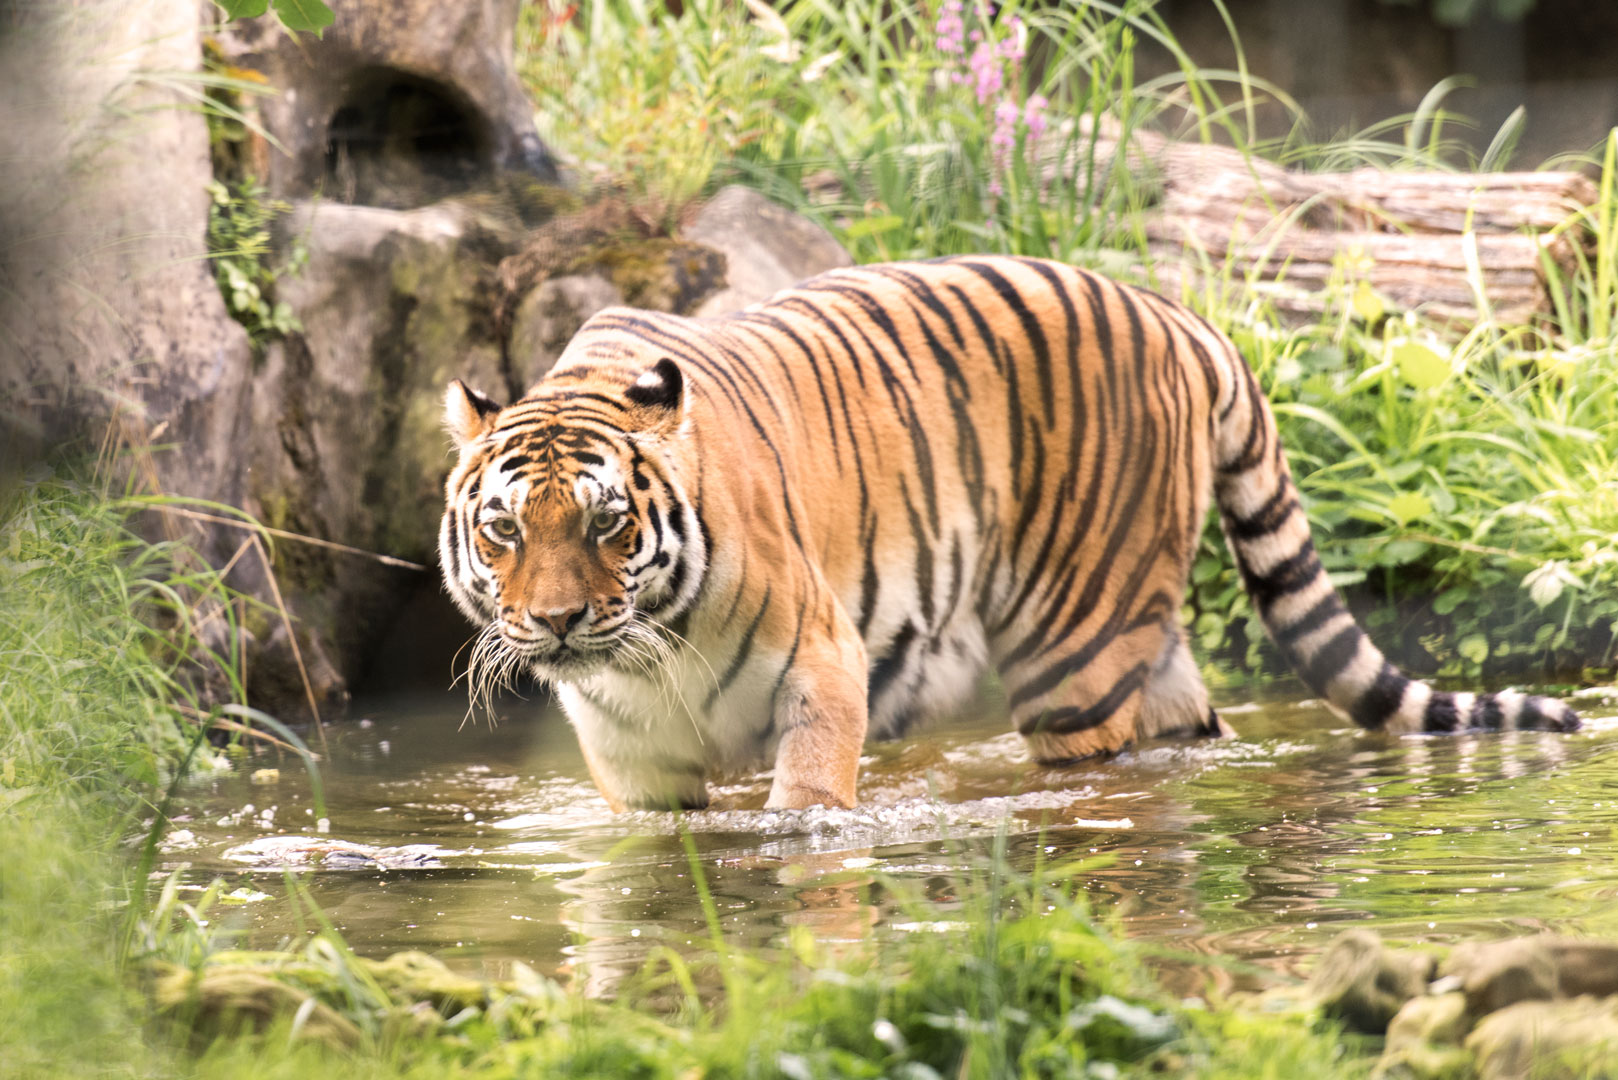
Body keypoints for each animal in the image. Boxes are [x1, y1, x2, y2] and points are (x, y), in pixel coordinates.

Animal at [440, 255, 1579, 809]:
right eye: (502, 530)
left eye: (609, 523)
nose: (555, 623)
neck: (648, 655)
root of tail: (1176, 313)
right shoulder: (630, 755)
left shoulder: (822, 668)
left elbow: (804, 811)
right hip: (1142, 639)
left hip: (1074, 648)